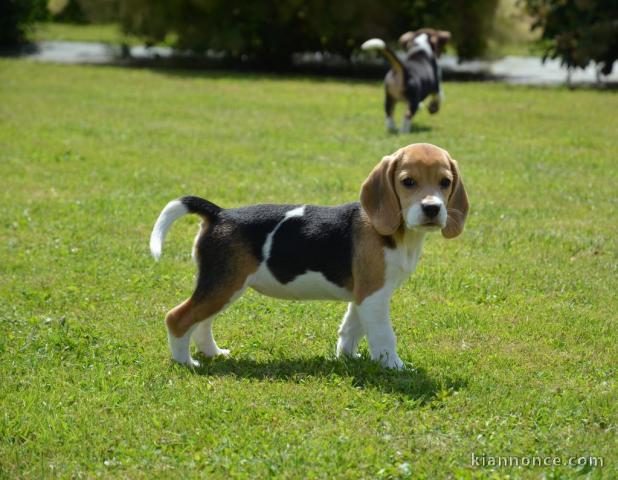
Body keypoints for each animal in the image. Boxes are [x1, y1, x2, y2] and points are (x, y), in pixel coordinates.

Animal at [150, 142, 466, 372]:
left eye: (445, 182)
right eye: (408, 182)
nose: (432, 209)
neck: (400, 233)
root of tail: (220, 213)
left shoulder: (363, 294)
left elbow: (351, 328)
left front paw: (348, 358)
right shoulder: (374, 295)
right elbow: (383, 335)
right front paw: (395, 367)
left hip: (224, 286)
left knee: (202, 322)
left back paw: (212, 352)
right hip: (223, 284)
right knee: (178, 318)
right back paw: (186, 362)